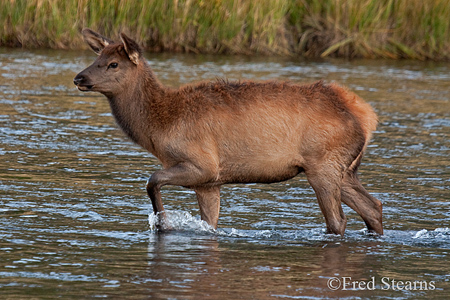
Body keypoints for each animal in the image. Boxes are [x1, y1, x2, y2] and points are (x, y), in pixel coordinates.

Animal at [74, 29, 384, 236]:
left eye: (114, 64)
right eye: (97, 57)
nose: (79, 77)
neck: (158, 128)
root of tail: (366, 116)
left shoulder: (203, 164)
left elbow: (152, 181)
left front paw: (164, 223)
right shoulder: (209, 183)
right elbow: (210, 222)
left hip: (323, 164)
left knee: (338, 220)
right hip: (345, 169)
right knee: (374, 207)